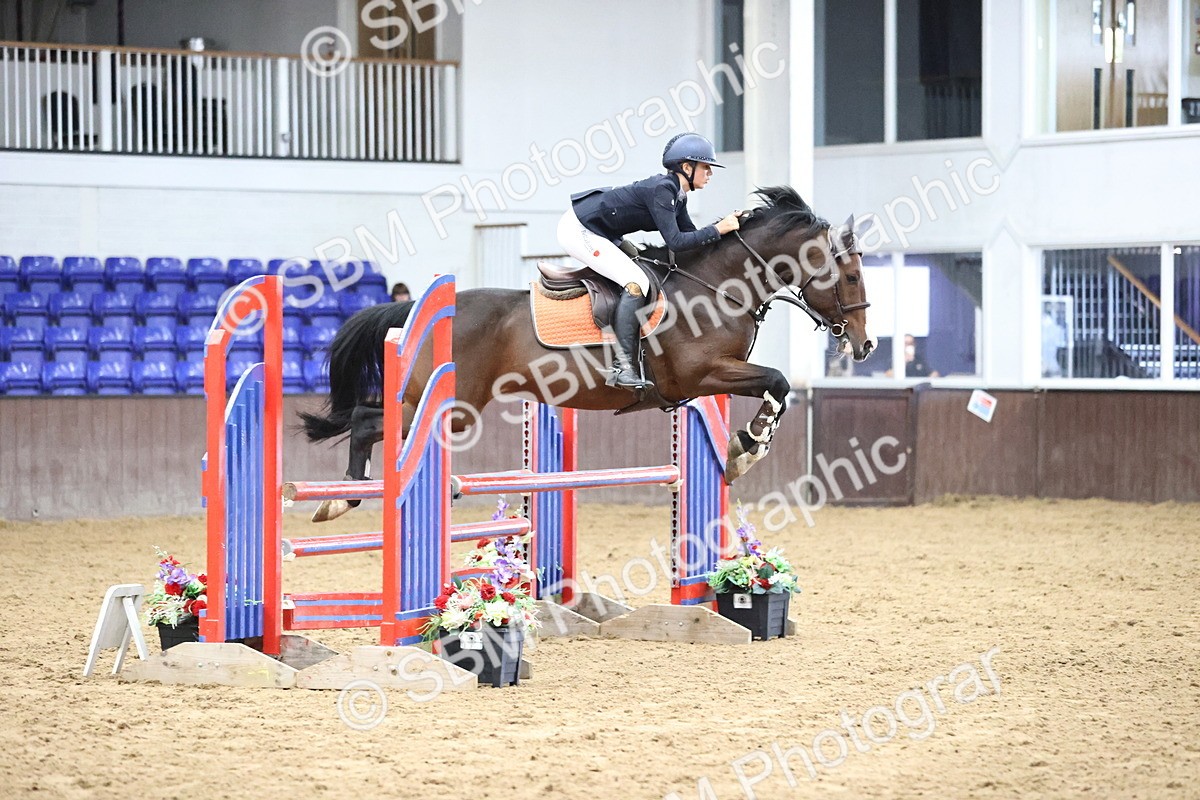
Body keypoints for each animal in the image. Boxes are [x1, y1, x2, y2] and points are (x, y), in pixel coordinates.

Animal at [299, 186, 874, 522]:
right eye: (850, 277)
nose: (865, 345)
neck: (716, 286)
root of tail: (419, 305)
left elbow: (778, 388)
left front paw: (742, 449)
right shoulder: (702, 374)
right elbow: (777, 382)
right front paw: (745, 448)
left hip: (443, 404)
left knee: (370, 418)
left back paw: (345, 495)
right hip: (453, 405)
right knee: (372, 420)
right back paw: (339, 497)